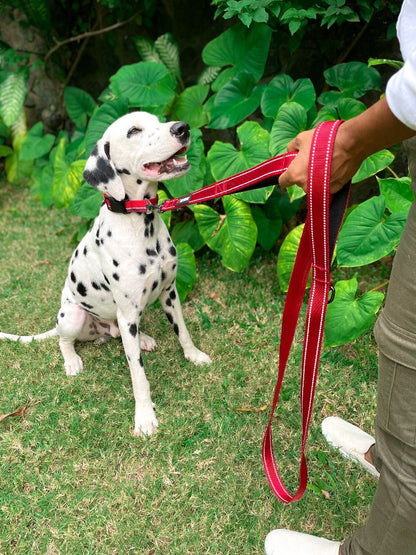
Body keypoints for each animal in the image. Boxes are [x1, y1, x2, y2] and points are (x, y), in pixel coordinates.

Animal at [0, 111, 211, 436]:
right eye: (134, 131)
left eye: (159, 120)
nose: (182, 128)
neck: (140, 222)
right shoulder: (129, 314)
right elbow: (138, 374)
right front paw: (144, 416)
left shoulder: (170, 293)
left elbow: (183, 332)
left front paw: (194, 355)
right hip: (73, 316)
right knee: (64, 341)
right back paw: (72, 361)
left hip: (125, 319)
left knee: (121, 332)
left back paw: (143, 338)